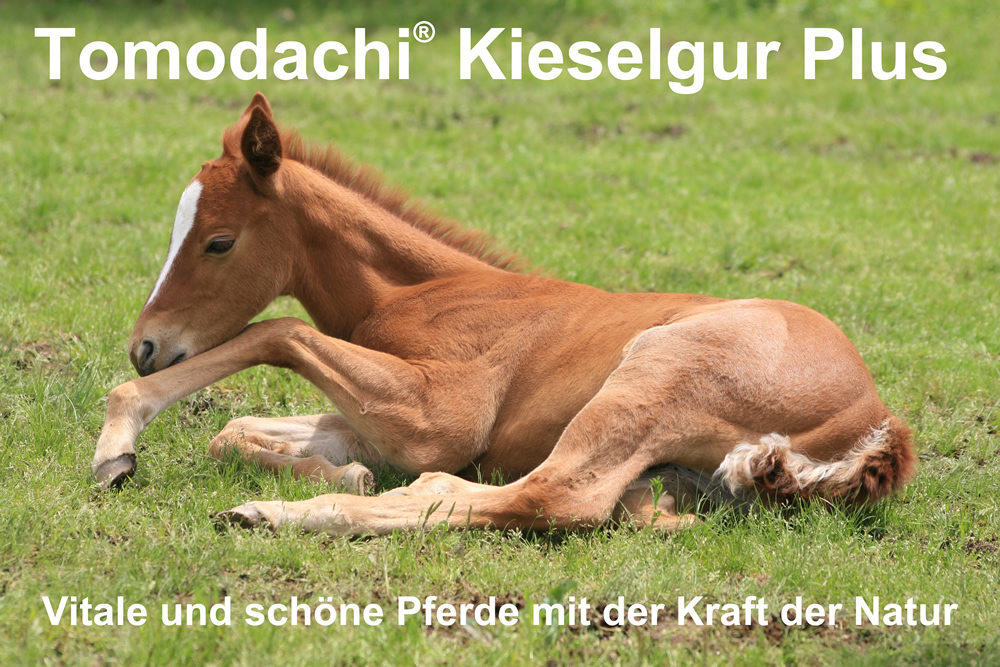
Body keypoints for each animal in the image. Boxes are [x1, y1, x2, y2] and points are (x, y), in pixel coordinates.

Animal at [91, 93, 916, 536]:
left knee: (552, 495)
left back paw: (274, 513)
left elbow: (279, 330)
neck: (421, 291)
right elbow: (232, 430)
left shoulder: (442, 419)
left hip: (655, 372)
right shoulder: (372, 418)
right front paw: (339, 468)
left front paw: (116, 443)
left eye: (218, 241)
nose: (144, 346)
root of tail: (875, 423)